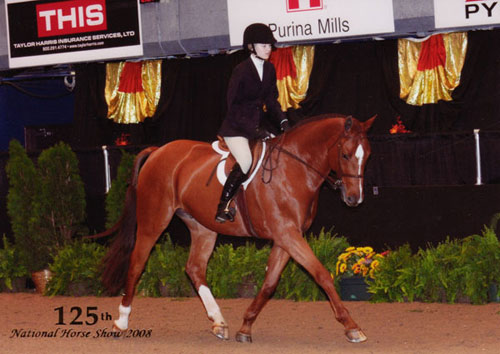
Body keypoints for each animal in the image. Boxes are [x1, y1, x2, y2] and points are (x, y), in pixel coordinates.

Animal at [101, 112, 374, 342]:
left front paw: (245, 327)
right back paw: (121, 321)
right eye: (346, 155)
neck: (295, 168)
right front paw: (352, 327)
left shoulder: (286, 236)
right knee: (137, 262)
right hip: (154, 220)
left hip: (202, 227)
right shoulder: (287, 233)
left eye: (368, 155)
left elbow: (269, 284)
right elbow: (321, 274)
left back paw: (219, 322)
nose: (355, 199)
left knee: (195, 268)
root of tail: (158, 150)